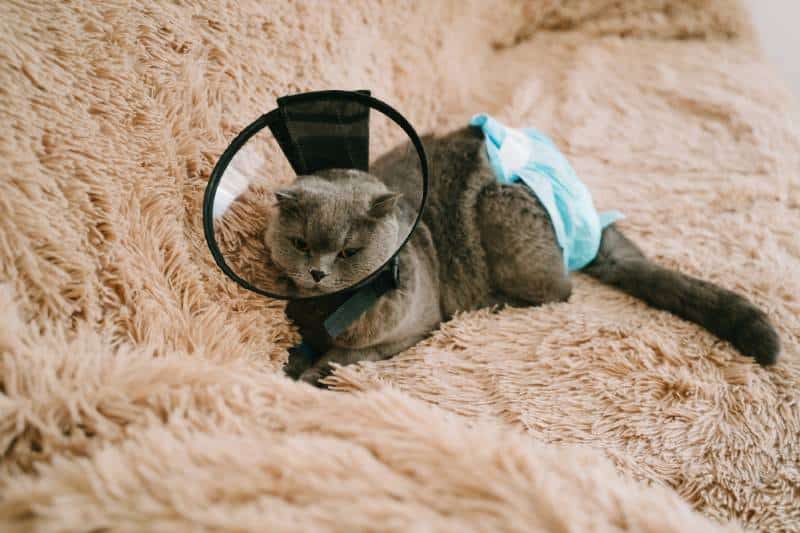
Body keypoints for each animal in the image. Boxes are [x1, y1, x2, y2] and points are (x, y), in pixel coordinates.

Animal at [270, 125, 780, 382]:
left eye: (350, 251)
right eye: (301, 245)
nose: (318, 274)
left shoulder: (410, 330)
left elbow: (344, 358)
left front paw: (309, 373)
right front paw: (293, 361)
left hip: (499, 210)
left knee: (561, 291)